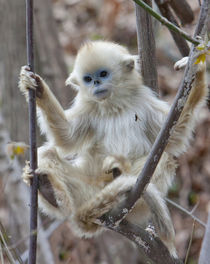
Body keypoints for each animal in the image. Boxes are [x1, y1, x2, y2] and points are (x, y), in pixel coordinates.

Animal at [19, 41, 207, 258]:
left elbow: (175, 137)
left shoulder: (144, 100)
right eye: (88, 79)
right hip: (85, 191)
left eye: (103, 74)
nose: (95, 83)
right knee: (47, 154)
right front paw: (37, 87)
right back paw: (48, 188)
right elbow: (66, 138)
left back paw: (120, 173)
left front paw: (197, 72)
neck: (113, 105)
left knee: (165, 159)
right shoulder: (88, 108)